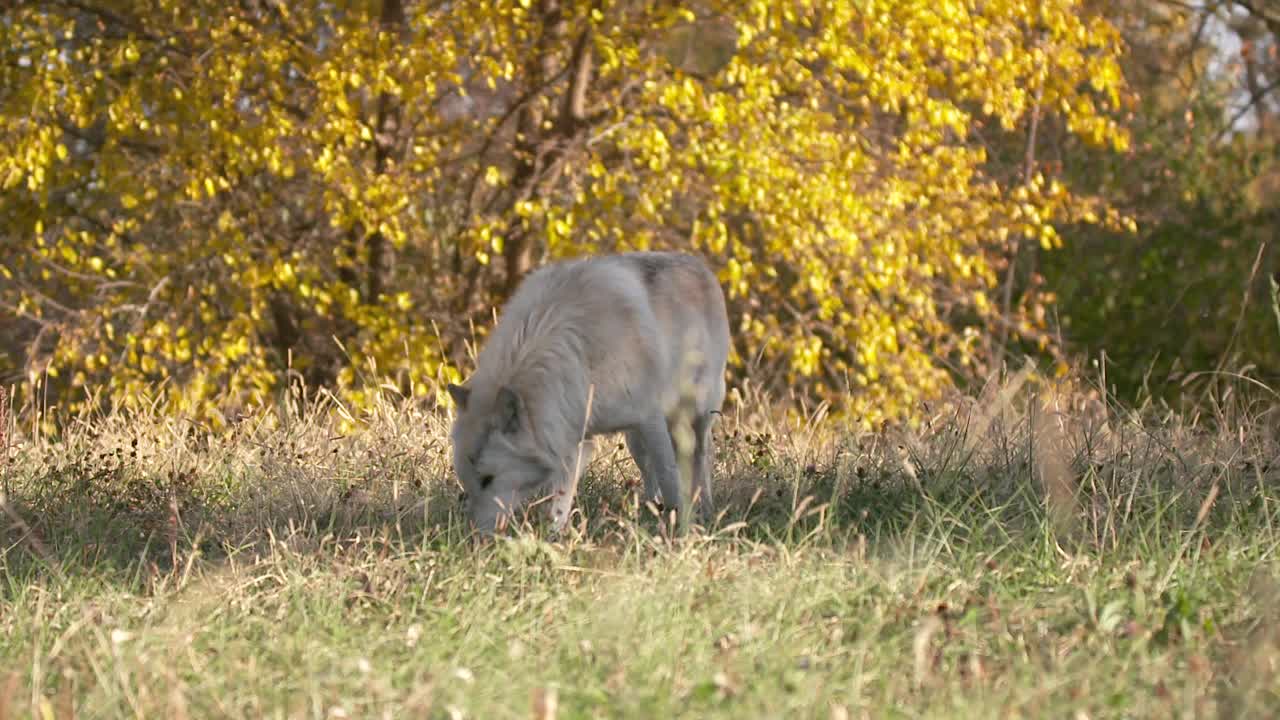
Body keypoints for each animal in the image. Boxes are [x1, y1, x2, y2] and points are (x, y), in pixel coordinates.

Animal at [448, 249, 732, 530]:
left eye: (488, 479)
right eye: (467, 480)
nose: (474, 534)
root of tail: (698, 263)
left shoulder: (649, 418)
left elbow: (670, 477)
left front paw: (678, 527)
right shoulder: (571, 437)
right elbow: (560, 499)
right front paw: (554, 536)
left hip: (695, 415)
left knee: (701, 458)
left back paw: (704, 511)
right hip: (634, 440)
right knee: (649, 471)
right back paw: (650, 509)